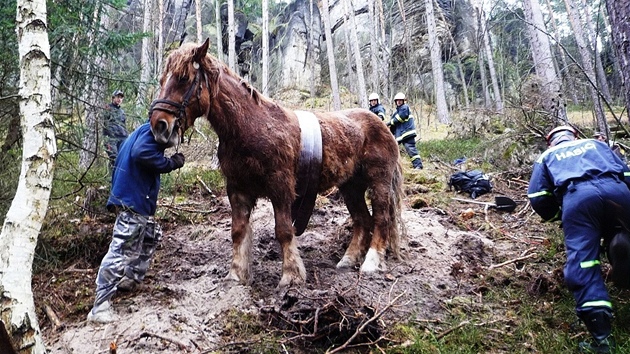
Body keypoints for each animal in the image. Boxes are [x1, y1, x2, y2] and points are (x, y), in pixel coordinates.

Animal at [149, 39, 404, 288]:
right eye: (162, 80)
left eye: (183, 78)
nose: (159, 125)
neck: (251, 128)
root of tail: (382, 125)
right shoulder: (237, 189)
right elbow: (238, 231)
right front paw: (236, 274)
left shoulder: (280, 186)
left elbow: (283, 230)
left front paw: (291, 275)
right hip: (350, 186)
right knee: (362, 220)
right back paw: (348, 259)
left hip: (379, 183)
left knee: (381, 218)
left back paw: (371, 261)